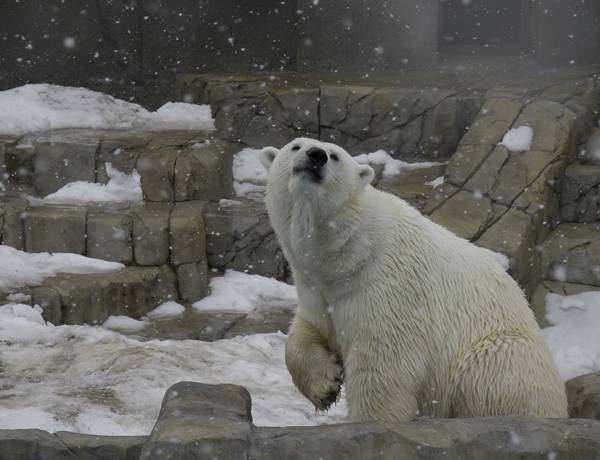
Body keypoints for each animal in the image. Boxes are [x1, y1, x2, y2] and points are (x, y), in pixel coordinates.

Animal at [258, 138, 568, 422]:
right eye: (296, 146)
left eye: (334, 155)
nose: (316, 155)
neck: (350, 253)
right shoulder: (317, 289)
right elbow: (306, 333)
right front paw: (325, 387)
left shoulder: (390, 289)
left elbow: (384, 366)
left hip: (499, 353)